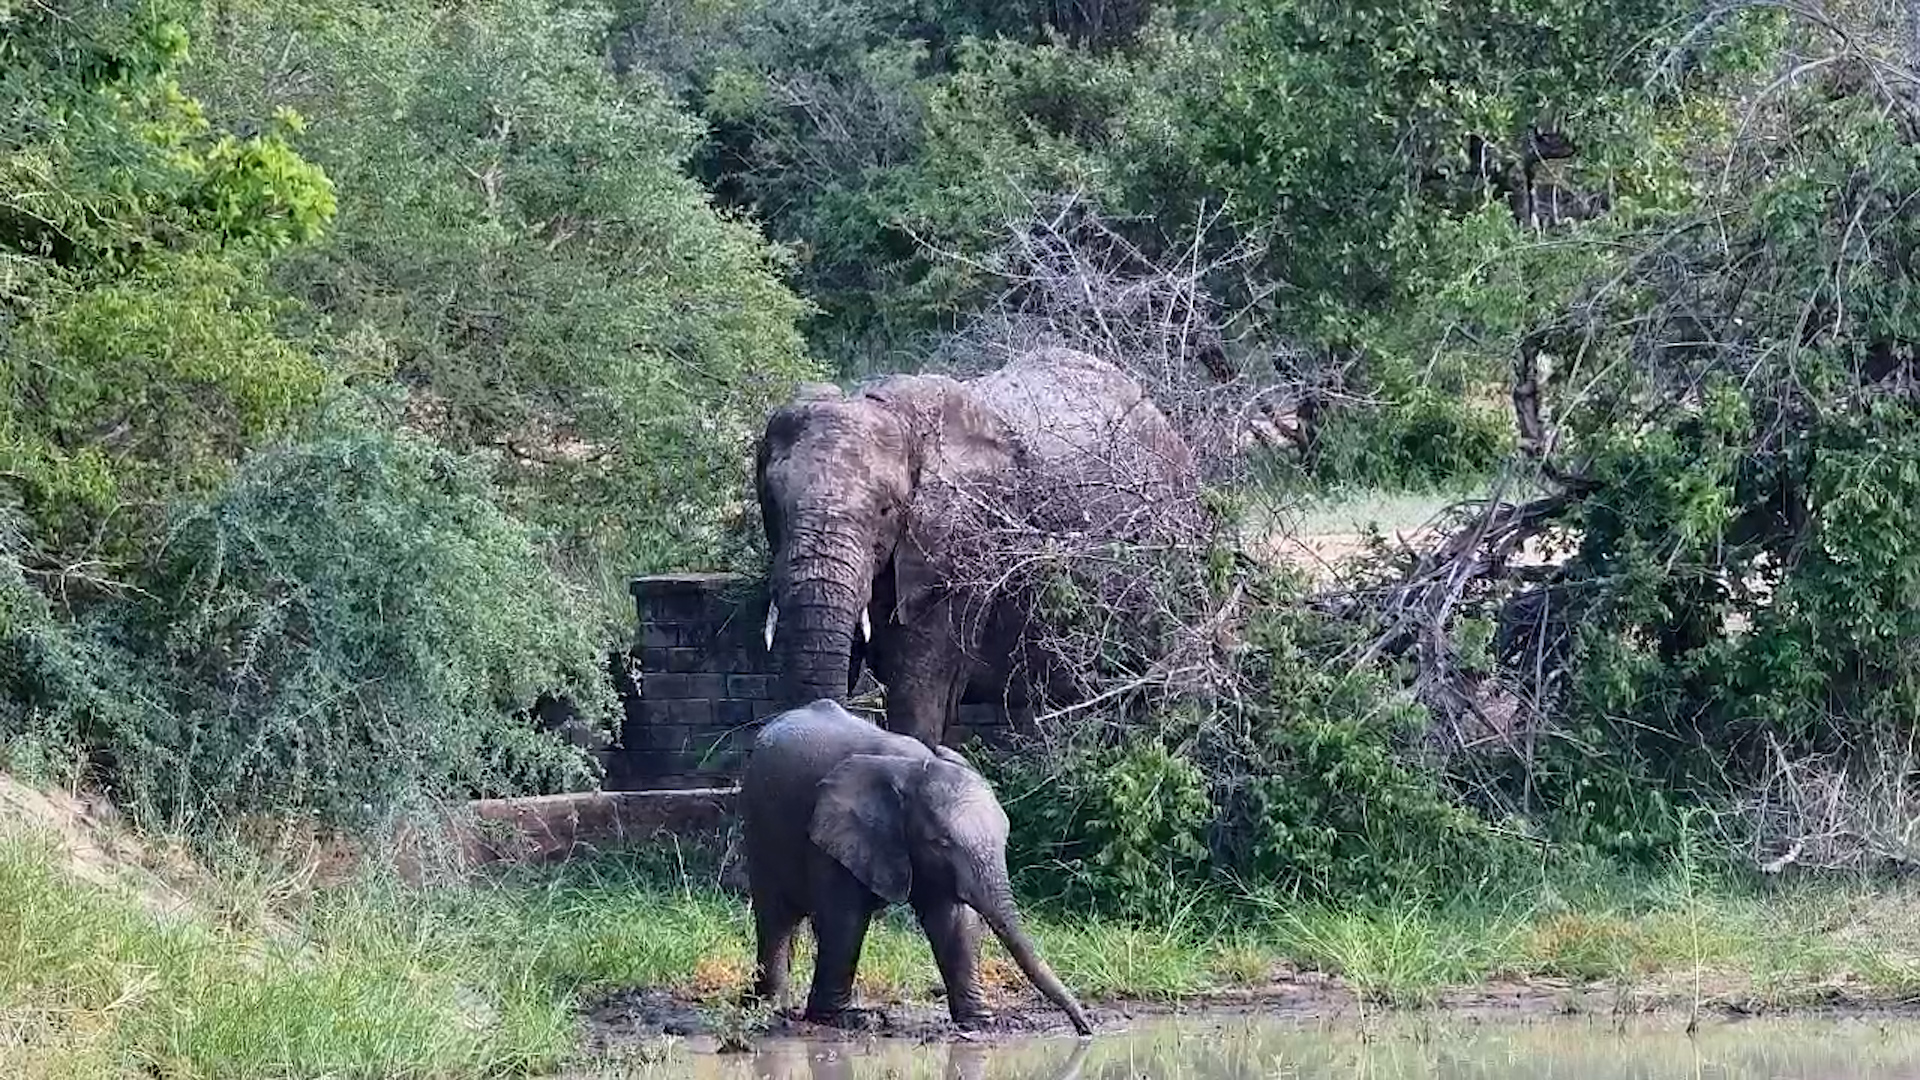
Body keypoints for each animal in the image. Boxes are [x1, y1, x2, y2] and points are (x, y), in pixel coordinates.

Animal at [739, 698, 1094, 1036]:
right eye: (941, 842)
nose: (1085, 1029)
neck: (915, 767)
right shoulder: (836, 835)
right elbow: (845, 920)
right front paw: (846, 1020)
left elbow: (954, 921)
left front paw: (980, 1022)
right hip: (760, 825)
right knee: (776, 916)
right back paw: (769, 1007)